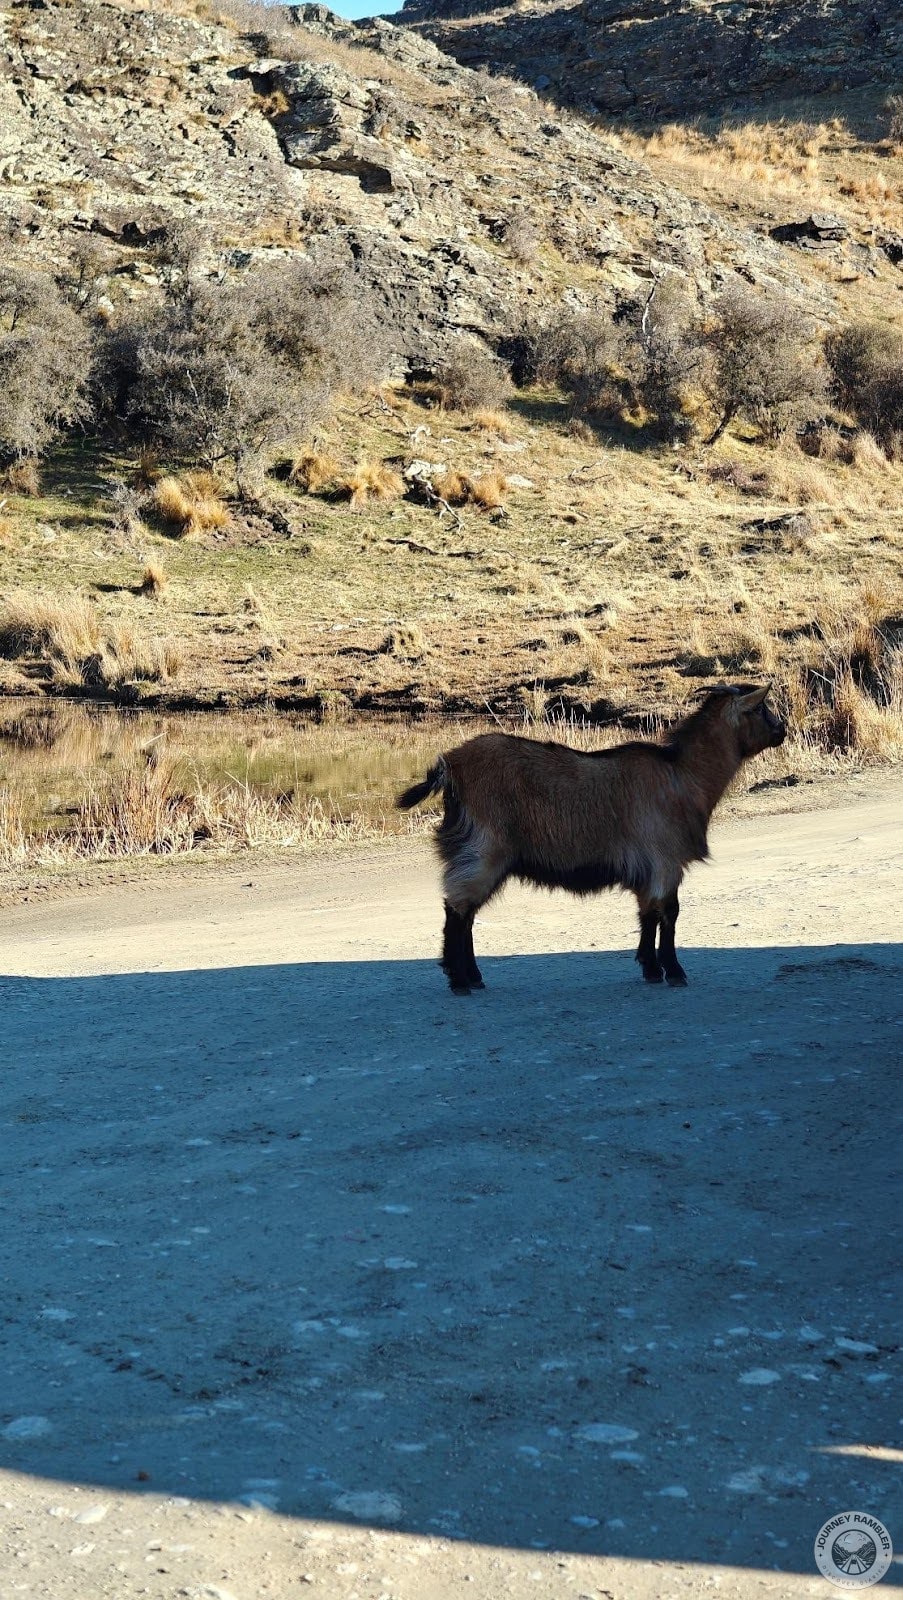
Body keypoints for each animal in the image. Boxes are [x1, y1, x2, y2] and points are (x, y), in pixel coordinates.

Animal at [396, 684, 785, 993]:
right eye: (760, 708)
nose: (783, 730)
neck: (684, 774)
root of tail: (449, 767)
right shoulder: (665, 860)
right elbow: (669, 913)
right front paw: (674, 971)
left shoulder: (648, 868)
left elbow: (647, 914)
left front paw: (651, 968)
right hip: (484, 849)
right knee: (458, 909)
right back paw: (459, 981)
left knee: (467, 913)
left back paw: (472, 976)